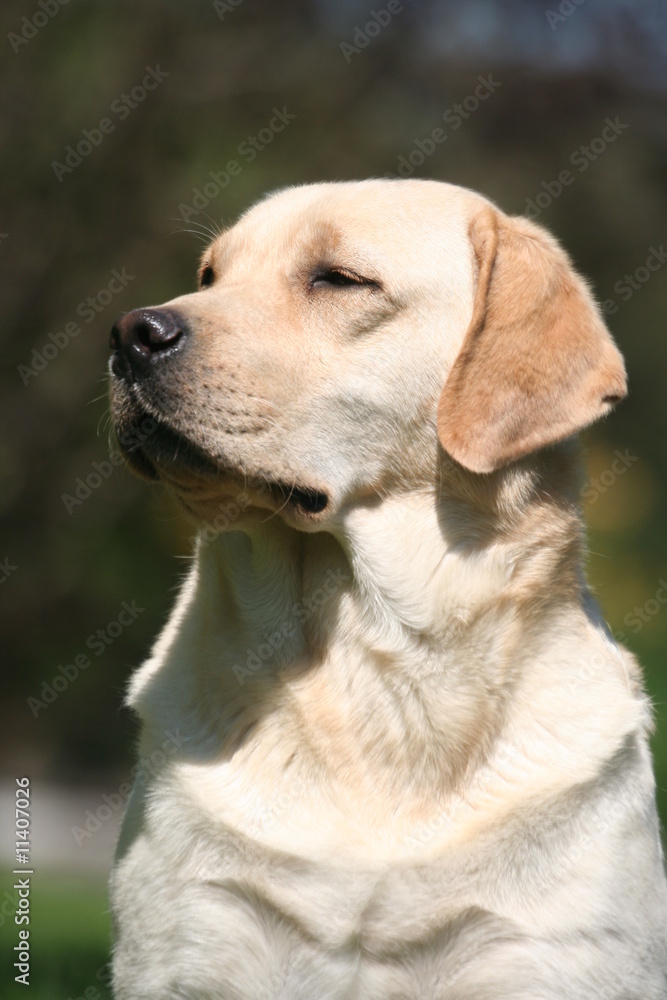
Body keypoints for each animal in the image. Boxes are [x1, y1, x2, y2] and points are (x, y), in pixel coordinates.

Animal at [108, 182, 667, 1000]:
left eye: (338, 279)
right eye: (210, 275)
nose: (130, 335)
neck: (369, 658)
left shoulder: (544, 955)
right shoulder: (189, 946)